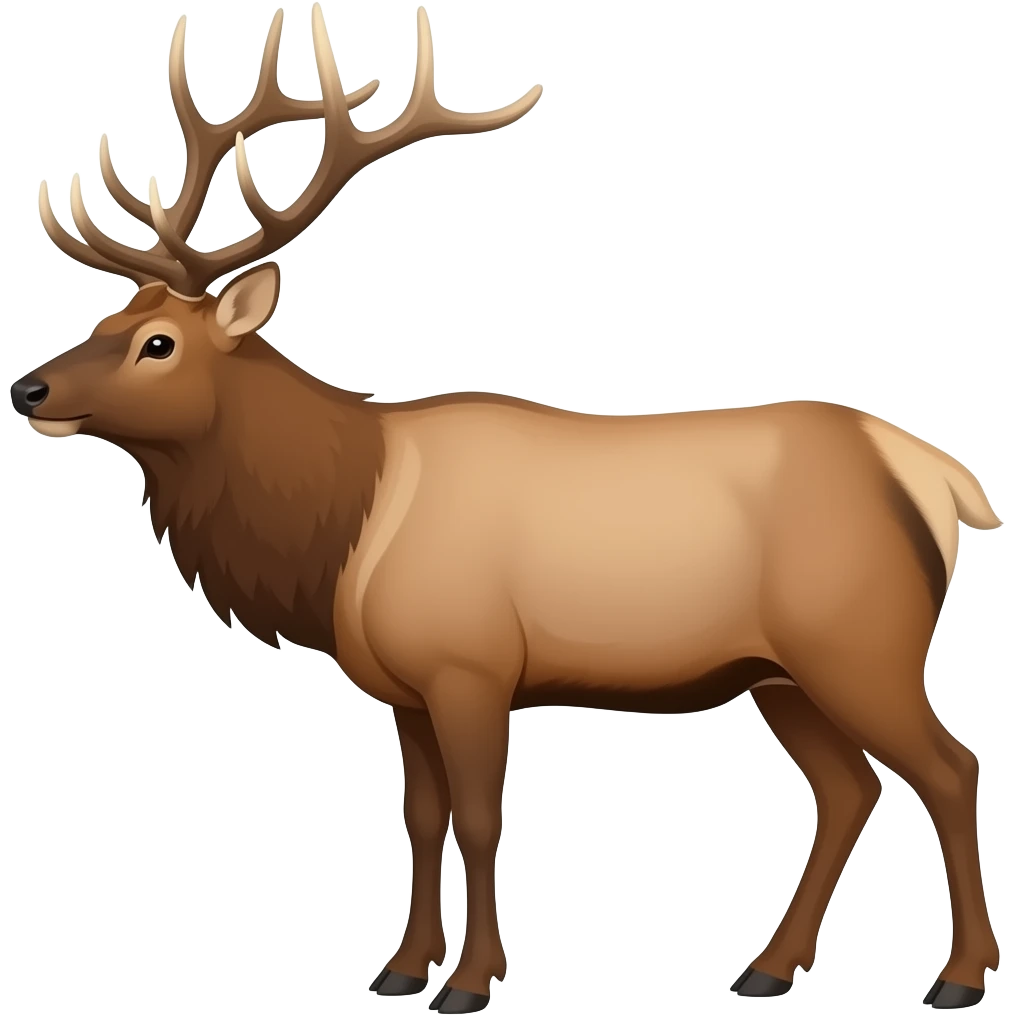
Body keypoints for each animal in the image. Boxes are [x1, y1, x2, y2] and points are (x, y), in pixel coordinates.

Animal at [12, 5, 1003, 1014]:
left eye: (158, 344)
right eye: (105, 320)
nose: (28, 387)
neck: (339, 533)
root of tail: (937, 478)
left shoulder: (472, 666)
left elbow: (482, 818)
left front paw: (471, 980)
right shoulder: (404, 688)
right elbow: (420, 816)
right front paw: (401, 966)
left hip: (860, 643)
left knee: (949, 766)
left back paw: (957, 976)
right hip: (779, 671)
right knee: (849, 787)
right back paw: (768, 965)